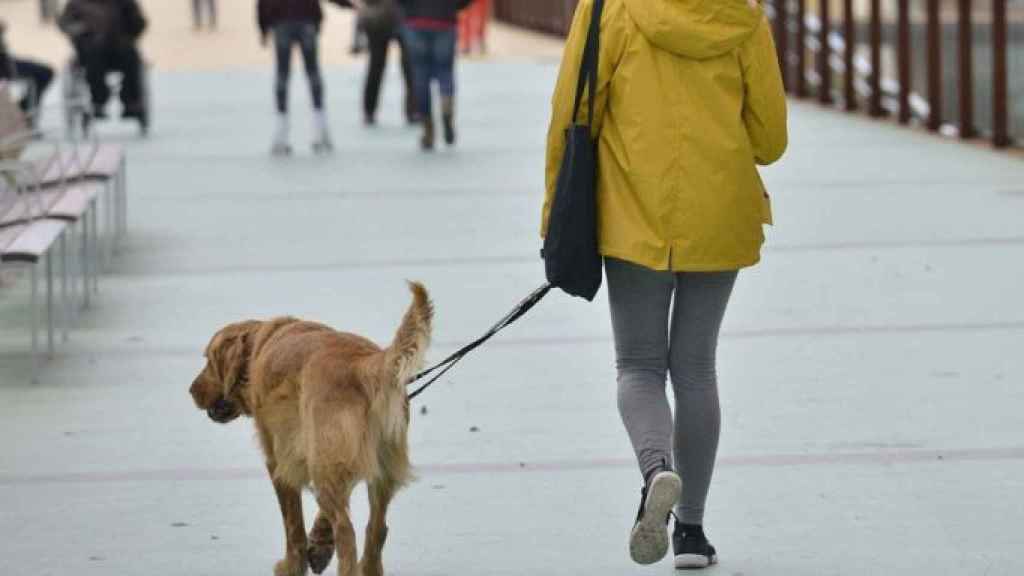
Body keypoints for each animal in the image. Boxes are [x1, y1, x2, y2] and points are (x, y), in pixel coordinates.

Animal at [189, 280, 432, 573]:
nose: (190, 391)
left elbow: (292, 524)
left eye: (207, 360)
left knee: (347, 532)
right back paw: (368, 568)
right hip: (374, 469)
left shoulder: (279, 459)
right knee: (377, 528)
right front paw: (319, 545)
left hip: (327, 463)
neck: (259, 346)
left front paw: (293, 565)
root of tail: (364, 364)